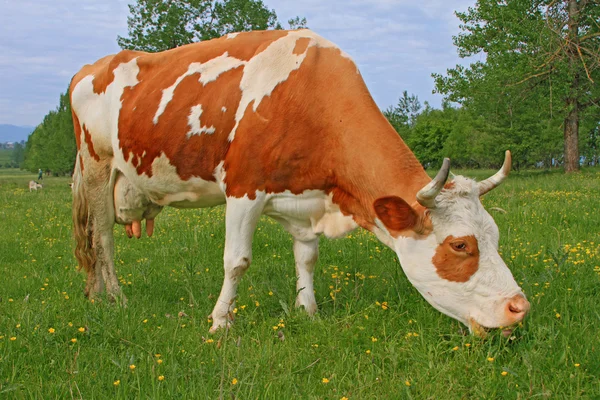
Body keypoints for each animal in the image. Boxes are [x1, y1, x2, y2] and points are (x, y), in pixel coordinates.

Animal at [71, 28, 528, 334]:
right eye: (460, 245)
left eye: (495, 235)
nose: (520, 308)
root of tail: (92, 67)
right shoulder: (243, 189)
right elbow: (236, 260)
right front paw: (220, 323)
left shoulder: (306, 200)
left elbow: (307, 256)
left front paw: (308, 310)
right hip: (96, 165)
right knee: (100, 237)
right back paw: (116, 299)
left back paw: (94, 295)